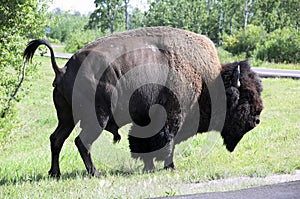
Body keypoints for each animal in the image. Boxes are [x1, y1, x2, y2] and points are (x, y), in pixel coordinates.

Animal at [24, 26, 262, 177]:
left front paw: (149, 167)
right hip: (96, 118)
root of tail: (63, 69)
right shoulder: (171, 118)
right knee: (82, 142)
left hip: (67, 117)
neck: (208, 80)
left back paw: (55, 173)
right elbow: (166, 143)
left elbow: (142, 143)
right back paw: (94, 173)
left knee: (57, 139)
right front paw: (170, 167)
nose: (257, 118)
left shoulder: (144, 120)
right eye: (245, 97)